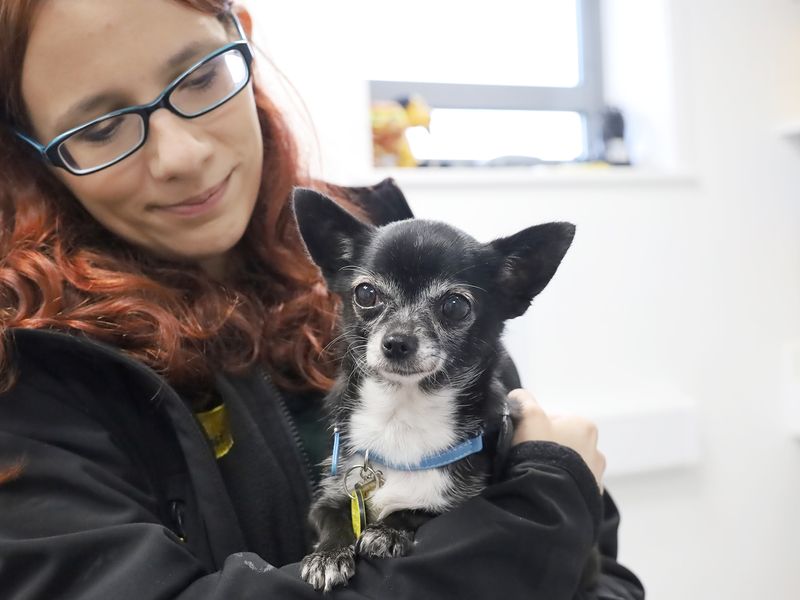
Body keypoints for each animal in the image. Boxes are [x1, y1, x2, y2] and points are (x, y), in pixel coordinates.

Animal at [292, 189, 576, 592]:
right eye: (365, 293)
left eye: (455, 306)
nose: (397, 342)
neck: (402, 413)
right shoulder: (332, 494)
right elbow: (333, 518)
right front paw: (328, 555)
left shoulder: (466, 498)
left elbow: (421, 509)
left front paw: (388, 530)